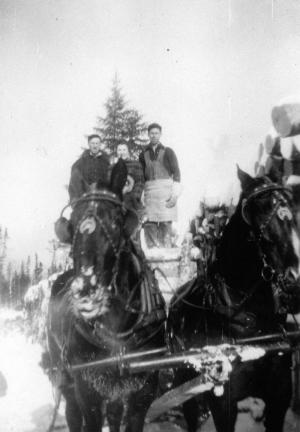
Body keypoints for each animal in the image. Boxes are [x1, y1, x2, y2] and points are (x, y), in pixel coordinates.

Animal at [48, 159, 168, 432]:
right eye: (72, 223)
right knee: (72, 415)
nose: (85, 290)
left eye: (116, 221)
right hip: (67, 378)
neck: (117, 332)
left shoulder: (141, 395)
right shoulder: (88, 393)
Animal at [168, 168, 300, 432]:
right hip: (182, 382)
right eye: (258, 213)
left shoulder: (279, 398)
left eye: (292, 207)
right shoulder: (223, 402)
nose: (296, 280)